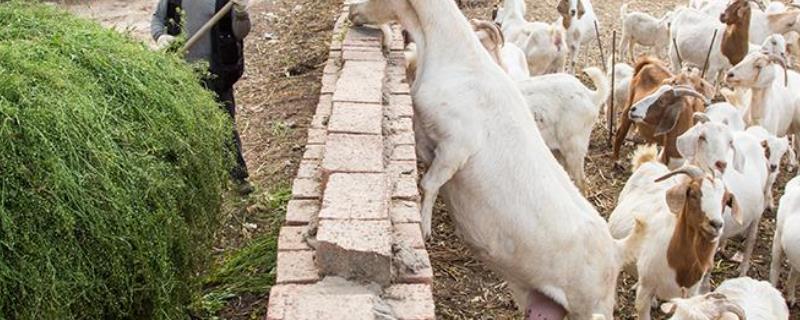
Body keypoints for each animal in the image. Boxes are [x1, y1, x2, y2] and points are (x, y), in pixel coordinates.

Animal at [348, 0, 644, 316]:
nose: (352, 10)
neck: (458, 59)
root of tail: (617, 250)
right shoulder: (426, 139)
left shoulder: (457, 146)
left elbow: (429, 184)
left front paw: (424, 229)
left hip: (590, 304)